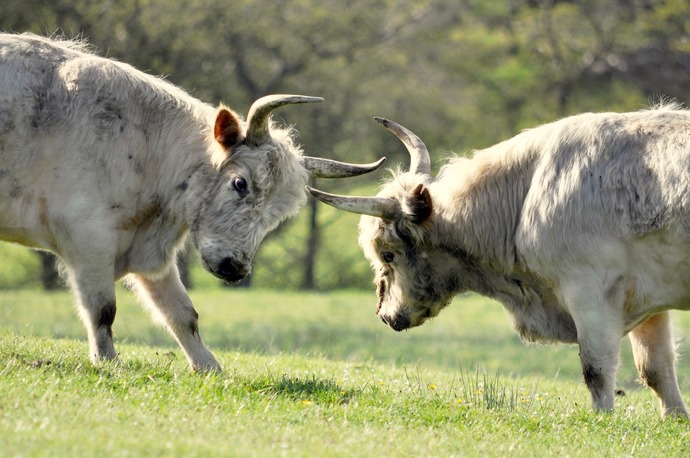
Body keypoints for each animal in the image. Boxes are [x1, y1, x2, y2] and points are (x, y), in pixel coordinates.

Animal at [0, 33, 384, 372]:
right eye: (240, 183)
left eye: (278, 215)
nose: (235, 267)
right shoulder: (89, 241)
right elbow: (103, 309)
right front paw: (107, 362)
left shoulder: (151, 258)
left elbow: (182, 314)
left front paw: (208, 366)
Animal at [307, 107, 690, 417]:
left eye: (388, 254)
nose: (385, 315)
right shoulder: (646, 301)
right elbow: (656, 368)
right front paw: (674, 419)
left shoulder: (589, 292)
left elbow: (597, 369)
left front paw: (602, 419)